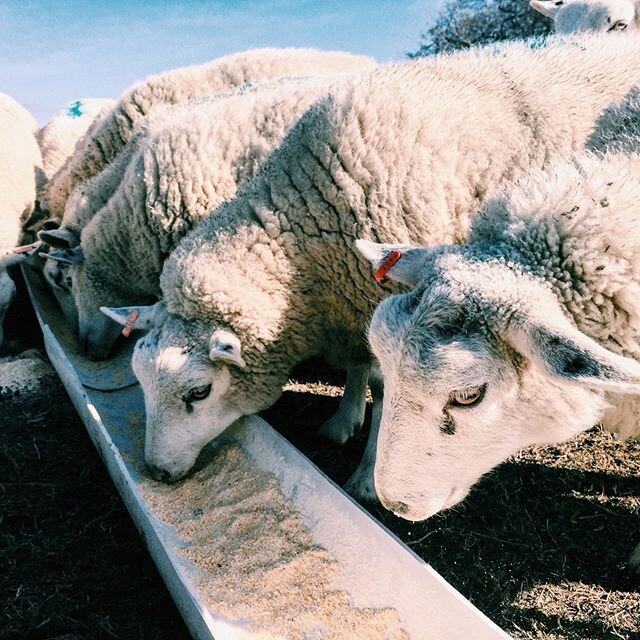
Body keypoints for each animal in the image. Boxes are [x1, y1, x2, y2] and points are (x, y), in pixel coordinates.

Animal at [101, 32, 640, 498]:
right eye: (141, 381)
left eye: (198, 392)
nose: (157, 472)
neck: (303, 232)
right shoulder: (348, 301)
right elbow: (358, 367)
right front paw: (343, 421)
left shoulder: (374, 293)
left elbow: (383, 389)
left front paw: (364, 475)